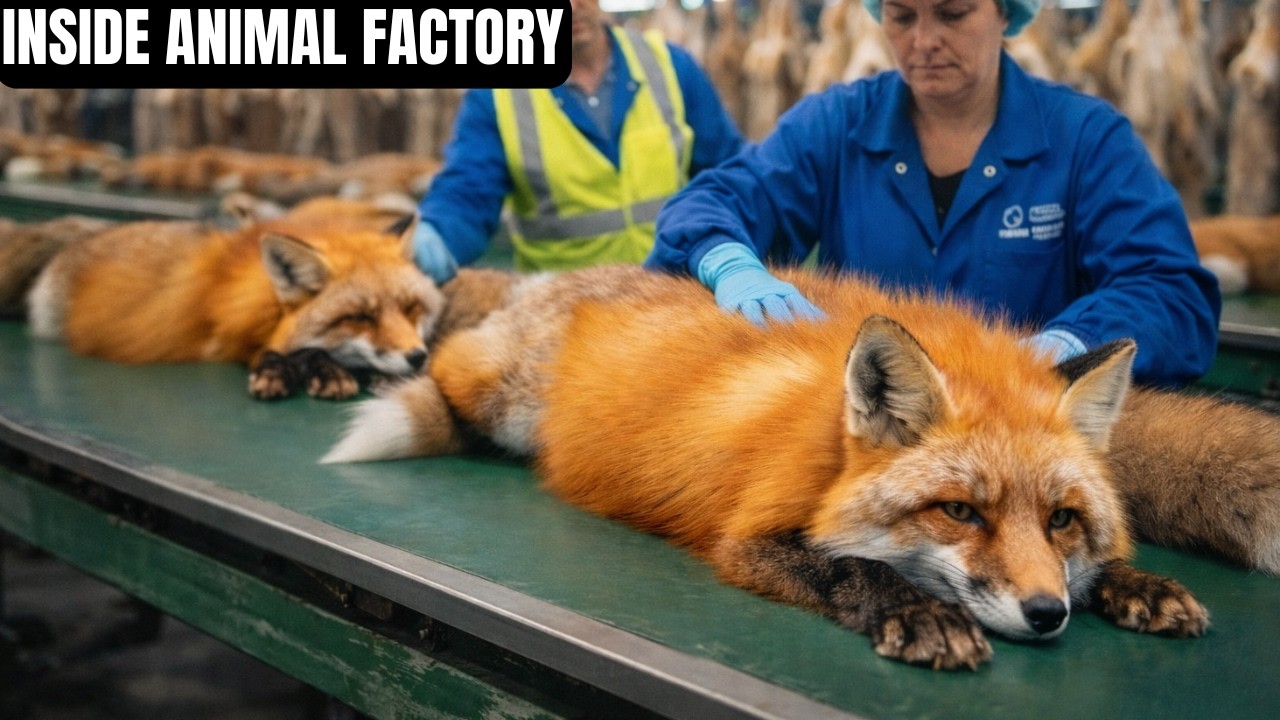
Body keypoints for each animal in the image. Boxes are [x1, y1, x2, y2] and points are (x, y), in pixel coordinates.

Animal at [18, 203, 448, 401]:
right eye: (359, 317)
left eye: (412, 309)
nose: (417, 357)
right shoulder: (229, 338)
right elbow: (294, 350)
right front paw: (310, 369)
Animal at [315, 264, 1280, 669]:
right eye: (959, 512)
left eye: (1063, 520)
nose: (1046, 616)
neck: (824, 449)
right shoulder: (747, 543)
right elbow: (852, 568)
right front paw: (922, 616)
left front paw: (1131, 584)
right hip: (494, 390)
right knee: (443, 367)